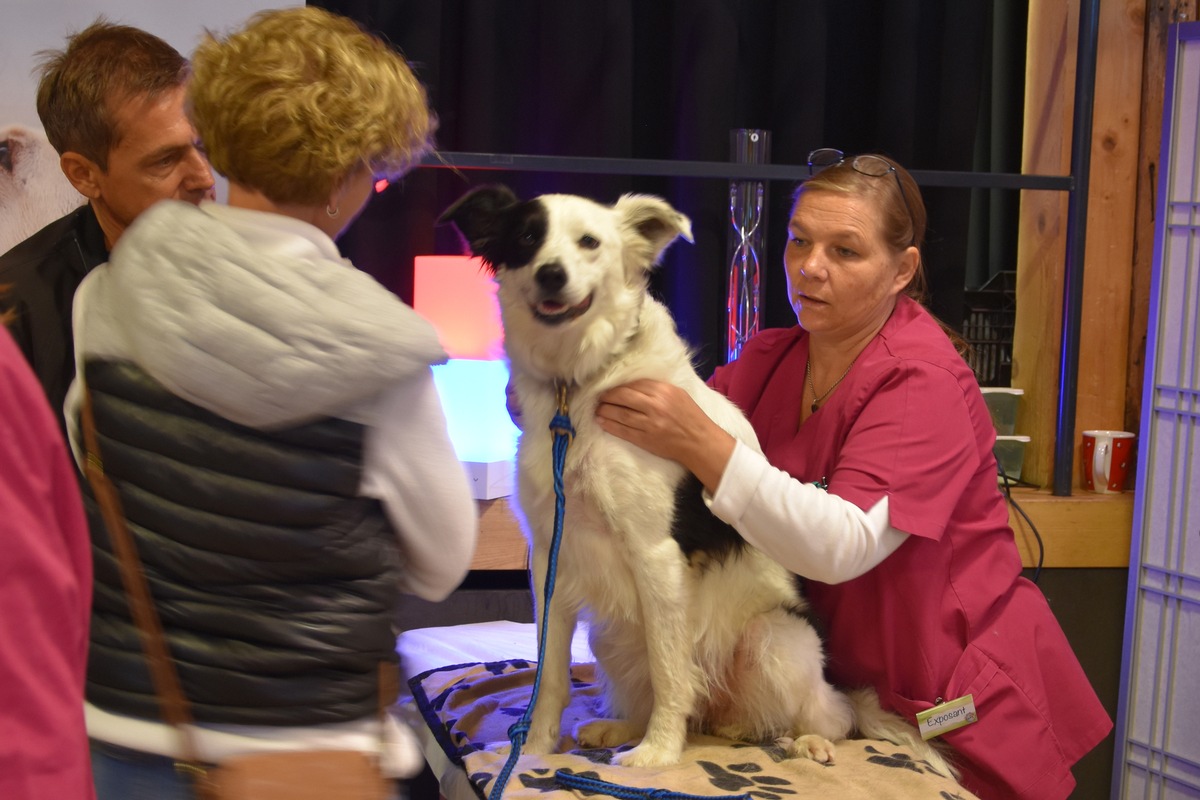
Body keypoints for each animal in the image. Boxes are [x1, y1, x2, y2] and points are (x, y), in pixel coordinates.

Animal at [436, 184, 950, 772]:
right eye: (527, 237)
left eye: (589, 242)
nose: (551, 275)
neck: (578, 384)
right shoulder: (550, 554)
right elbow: (549, 673)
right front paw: (534, 749)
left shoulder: (655, 554)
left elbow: (668, 671)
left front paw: (658, 753)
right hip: (612, 635)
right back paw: (621, 727)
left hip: (777, 638)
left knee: (831, 714)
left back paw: (807, 740)